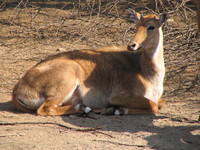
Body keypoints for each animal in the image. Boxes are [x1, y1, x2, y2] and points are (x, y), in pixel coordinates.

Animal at [11, 10, 168, 116]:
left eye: (151, 27)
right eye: (136, 26)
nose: (132, 45)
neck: (143, 70)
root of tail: (17, 89)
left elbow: (160, 104)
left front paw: (117, 109)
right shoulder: (118, 95)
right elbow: (154, 106)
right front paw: (120, 110)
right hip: (66, 80)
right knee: (45, 108)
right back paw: (85, 109)